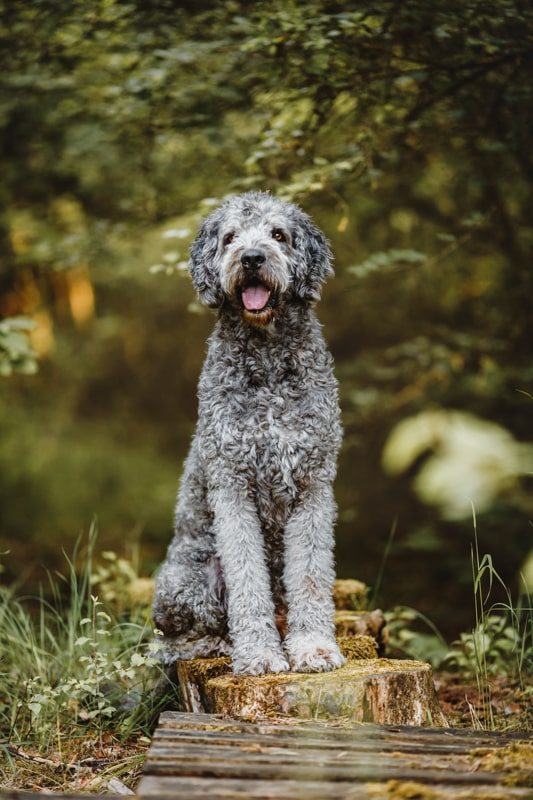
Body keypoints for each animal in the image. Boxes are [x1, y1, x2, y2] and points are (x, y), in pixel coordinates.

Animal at [154, 194, 344, 676]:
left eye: (278, 234)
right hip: (189, 577)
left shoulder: (313, 486)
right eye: (230, 237)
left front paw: (314, 647)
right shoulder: (232, 486)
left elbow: (311, 575)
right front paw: (259, 654)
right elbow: (246, 581)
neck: (268, 357)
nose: (252, 257)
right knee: (176, 640)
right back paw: (219, 645)